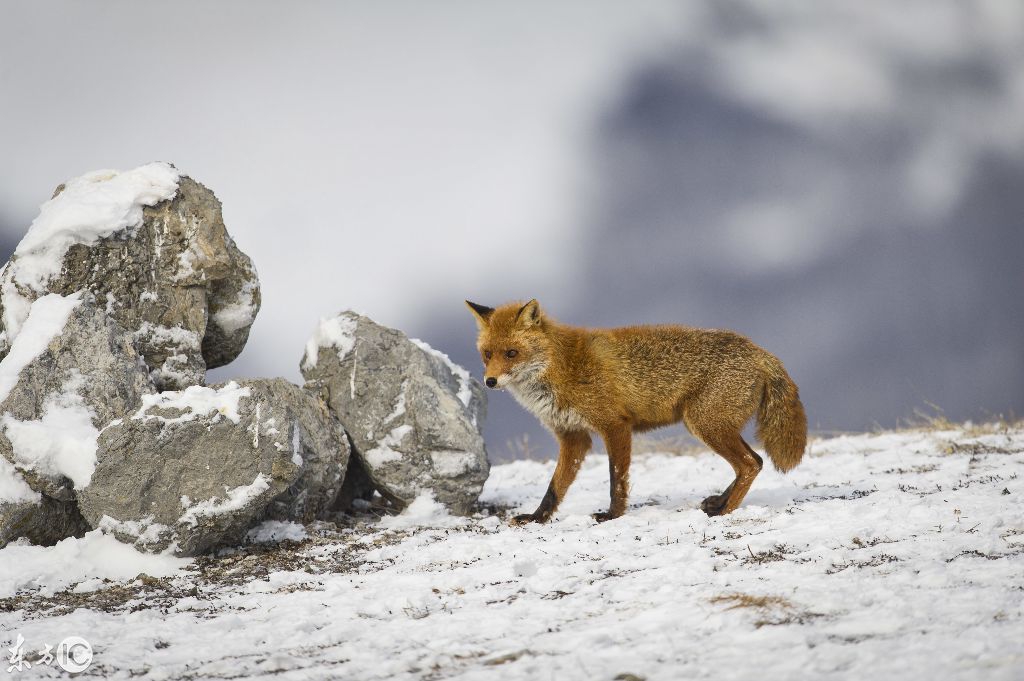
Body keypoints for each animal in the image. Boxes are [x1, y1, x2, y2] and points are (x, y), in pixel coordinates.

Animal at [464, 301, 806, 522]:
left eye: (512, 353)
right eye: (487, 354)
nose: (490, 381)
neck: (560, 368)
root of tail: (761, 351)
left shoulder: (615, 425)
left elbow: (617, 480)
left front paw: (612, 516)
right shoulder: (573, 436)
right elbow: (555, 486)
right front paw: (537, 517)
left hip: (705, 425)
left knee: (750, 464)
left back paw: (725, 511)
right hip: (713, 427)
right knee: (754, 461)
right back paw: (718, 502)